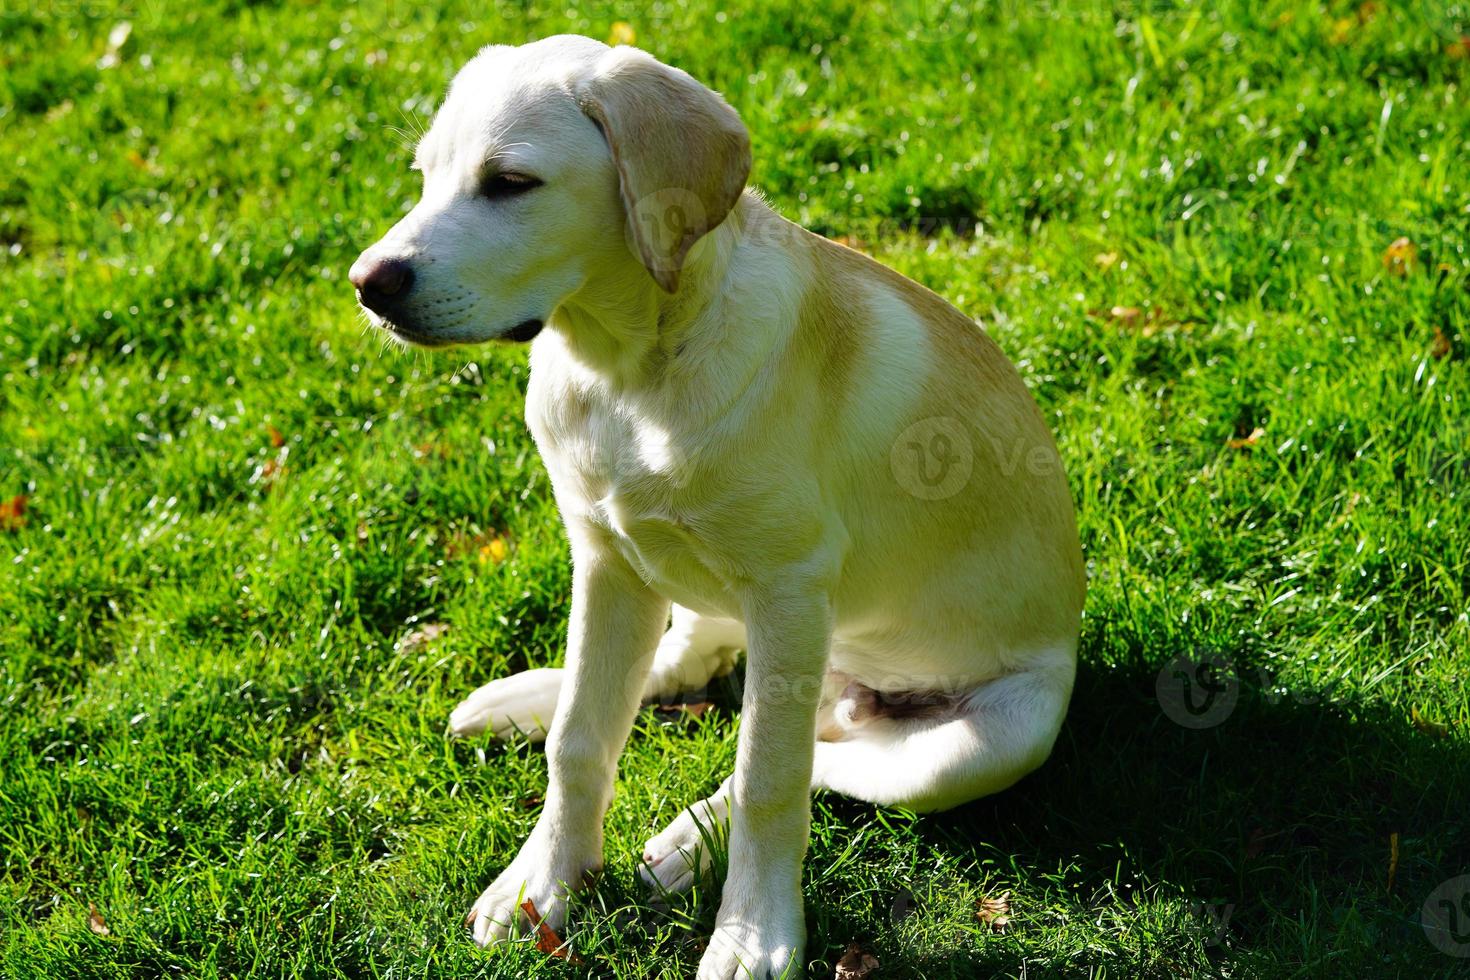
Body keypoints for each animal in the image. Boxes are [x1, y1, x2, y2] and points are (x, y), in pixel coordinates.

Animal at [343, 34, 1081, 975]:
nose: (368, 284)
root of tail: (844, 688)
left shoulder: (788, 590)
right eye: (424, 175)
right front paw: (542, 883)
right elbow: (580, 737)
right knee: (688, 669)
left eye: (510, 182)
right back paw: (530, 701)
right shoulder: (605, 556)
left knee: (810, 758)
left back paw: (685, 845)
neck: (627, 371)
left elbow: (770, 780)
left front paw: (752, 933)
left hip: (979, 743)